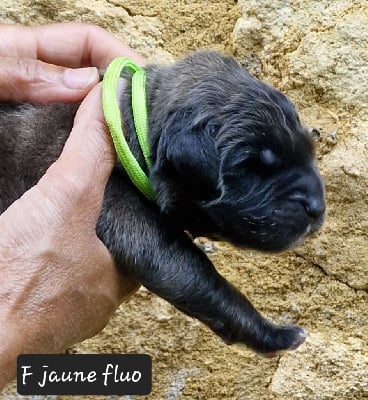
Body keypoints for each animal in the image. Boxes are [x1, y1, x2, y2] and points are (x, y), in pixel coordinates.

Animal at [0, 50, 324, 356]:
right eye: (252, 168)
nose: (317, 208)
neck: (134, 125)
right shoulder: (123, 211)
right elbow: (198, 276)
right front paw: (273, 334)